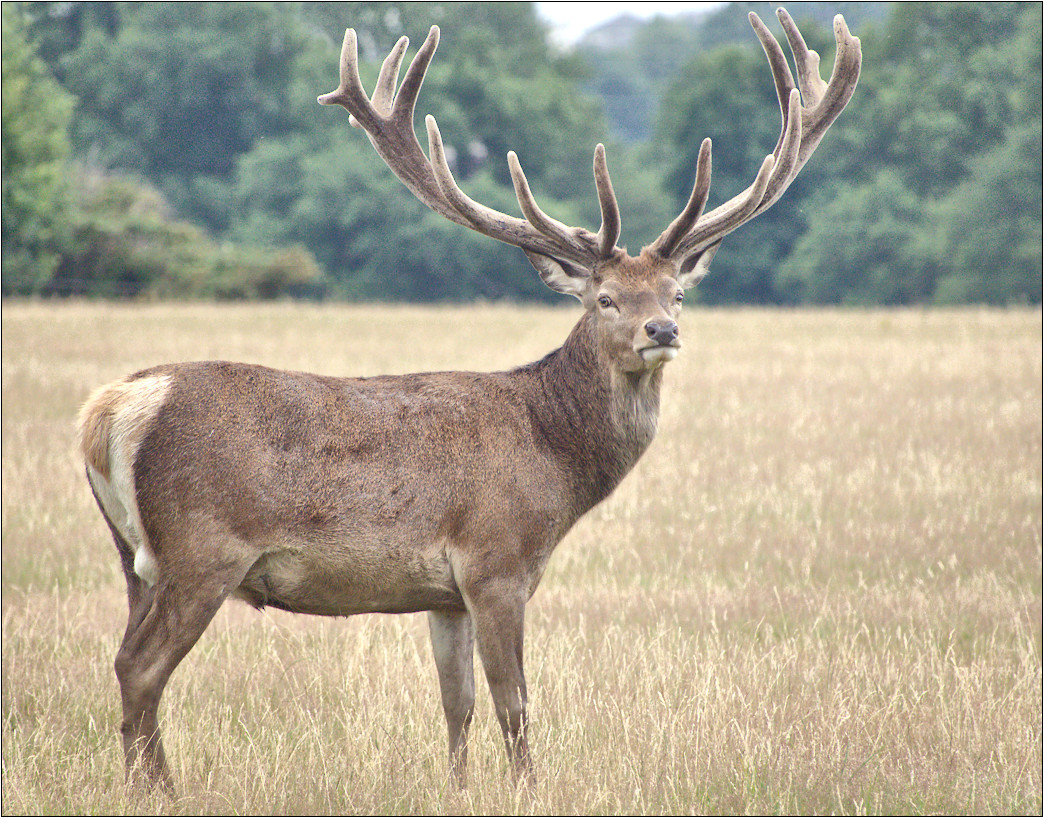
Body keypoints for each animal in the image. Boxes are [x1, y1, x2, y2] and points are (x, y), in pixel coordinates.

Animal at [79, 7, 856, 792]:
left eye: (676, 293)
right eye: (605, 298)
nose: (661, 331)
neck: (555, 458)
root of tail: (112, 407)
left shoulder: (442, 594)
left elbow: (458, 706)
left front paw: (455, 787)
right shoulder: (496, 561)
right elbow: (515, 701)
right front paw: (529, 789)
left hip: (135, 553)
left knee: (125, 659)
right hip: (201, 546)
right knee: (140, 667)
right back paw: (159, 790)